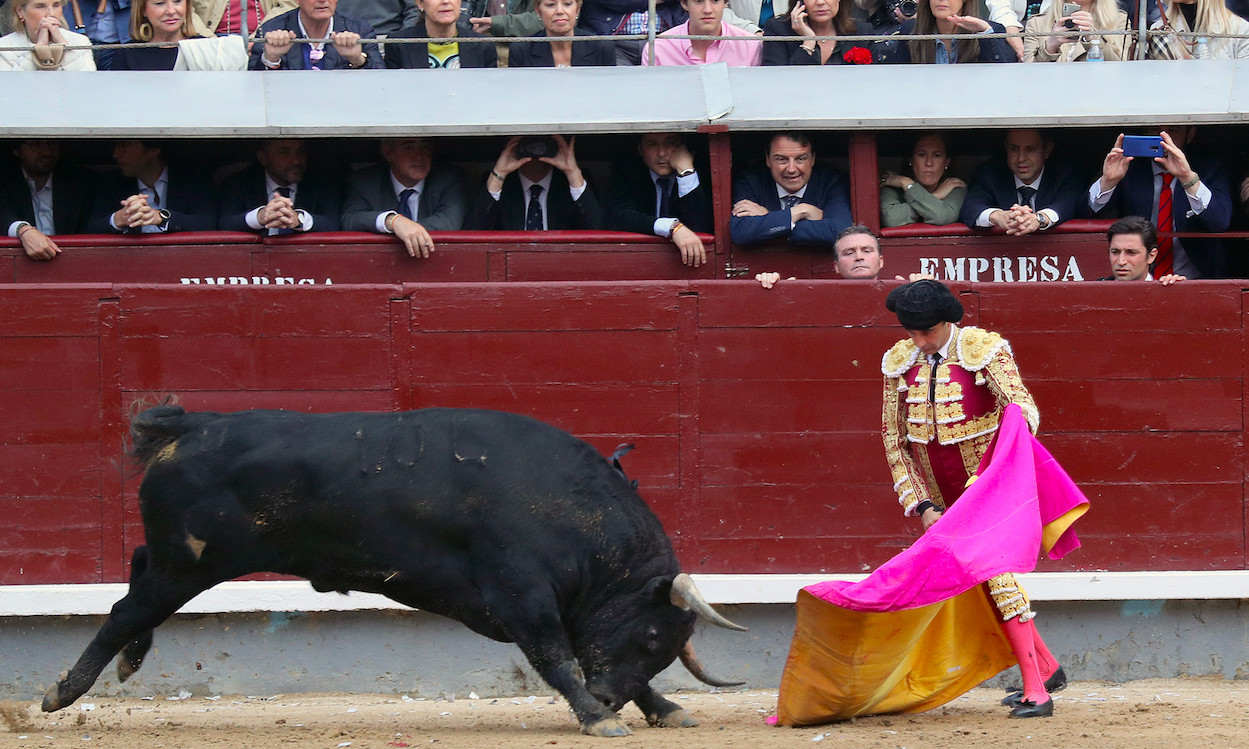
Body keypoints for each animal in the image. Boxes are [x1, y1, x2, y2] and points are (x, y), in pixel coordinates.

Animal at [44, 406, 744, 734]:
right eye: (652, 635)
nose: (607, 699)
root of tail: (191, 426)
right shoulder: (523, 597)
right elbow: (557, 657)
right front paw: (598, 719)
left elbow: (583, 654)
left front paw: (660, 708)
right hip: (188, 563)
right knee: (123, 611)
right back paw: (61, 693)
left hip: (176, 559)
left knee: (136, 575)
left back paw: (128, 663)